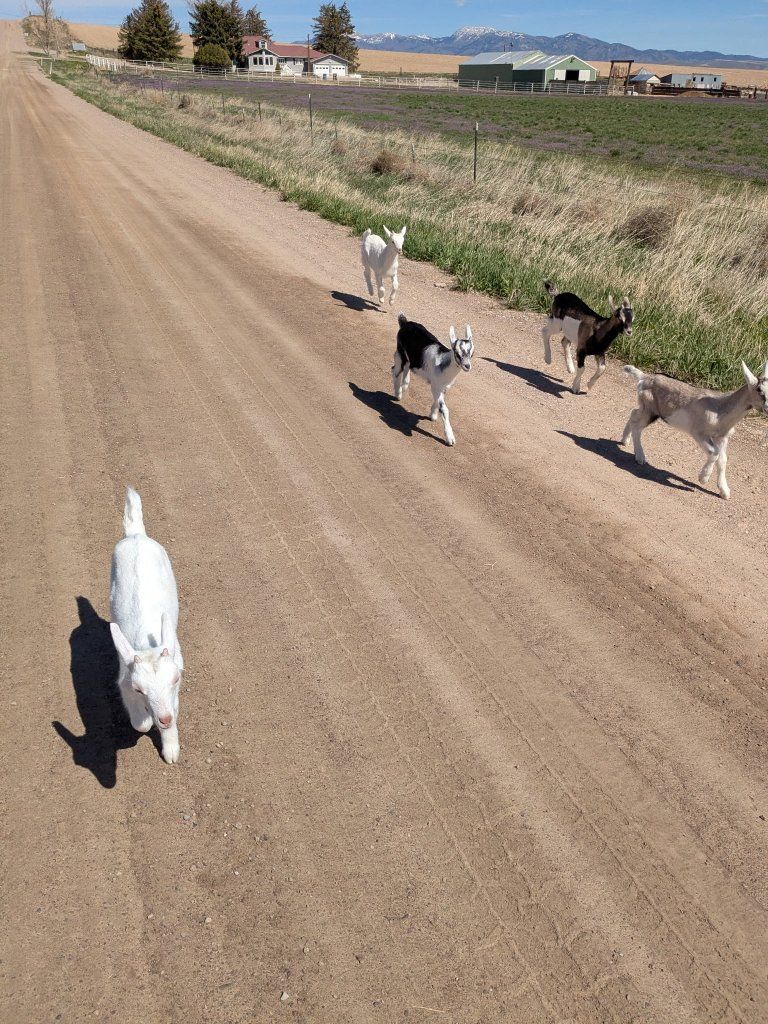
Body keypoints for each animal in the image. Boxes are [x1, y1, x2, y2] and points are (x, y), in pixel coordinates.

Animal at [109, 487, 184, 763]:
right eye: (138, 689)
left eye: (175, 679)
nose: (163, 718)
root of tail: (135, 535)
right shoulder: (123, 680)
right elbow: (139, 725)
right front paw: (146, 720)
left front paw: (171, 751)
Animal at [392, 313, 474, 446]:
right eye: (457, 353)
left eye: (471, 353)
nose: (467, 366)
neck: (443, 363)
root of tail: (405, 322)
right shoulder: (435, 386)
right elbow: (444, 409)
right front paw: (450, 438)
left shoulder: (442, 387)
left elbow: (437, 402)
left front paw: (433, 415)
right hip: (400, 353)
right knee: (395, 370)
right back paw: (398, 394)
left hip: (410, 358)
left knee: (405, 367)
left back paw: (404, 385)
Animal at [621, 361, 768, 499]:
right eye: (759, 390)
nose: (767, 408)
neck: (720, 408)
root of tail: (644, 377)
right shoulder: (699, 433)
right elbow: (714, 453)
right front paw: (703, 478)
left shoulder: (722, 437)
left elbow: (723, 460)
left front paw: (724, 492)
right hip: (650, 409)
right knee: (637, 425)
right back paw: (640, 457)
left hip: (646, 408)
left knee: (633, 414)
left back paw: (624, 441)